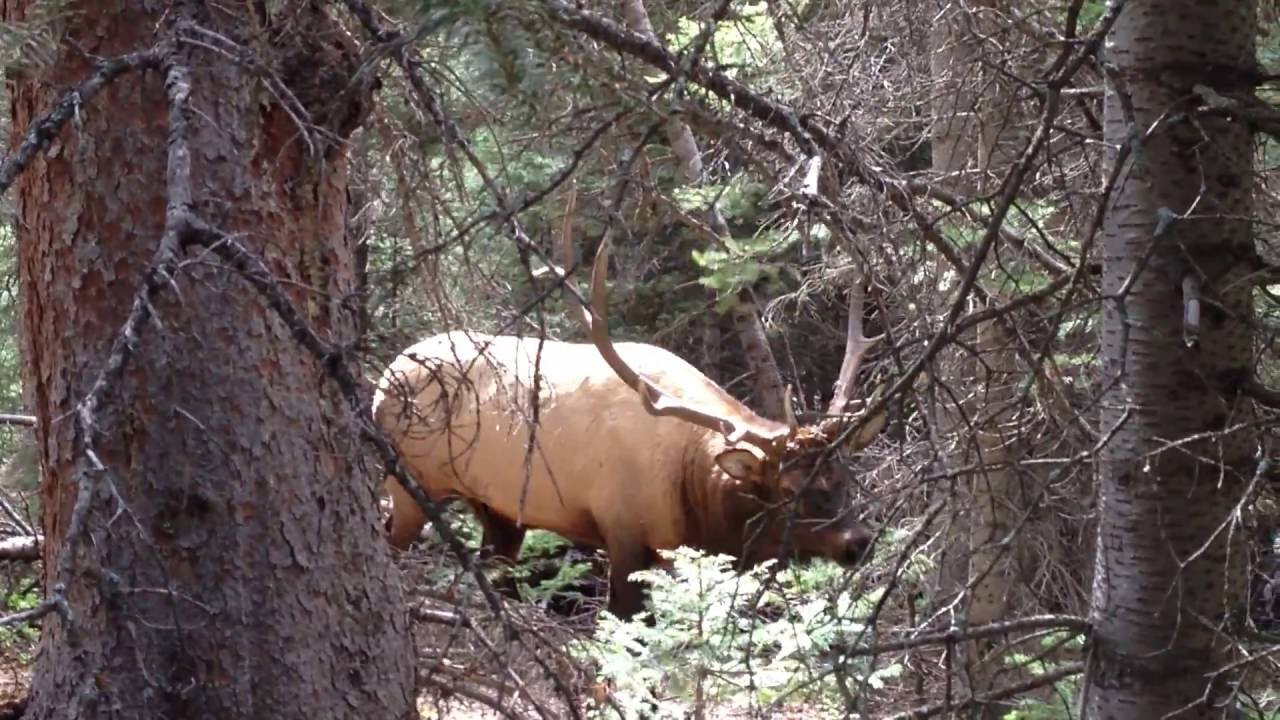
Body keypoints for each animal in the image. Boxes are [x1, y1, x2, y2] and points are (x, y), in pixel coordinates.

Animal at [371, 242, 884, 618]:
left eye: (847, 476)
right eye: (789, 489)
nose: (857, 543)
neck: (696, 498)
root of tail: (382, 379)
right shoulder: (621, 531)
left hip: (497, 509)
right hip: (408, 480)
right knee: (390, 539)